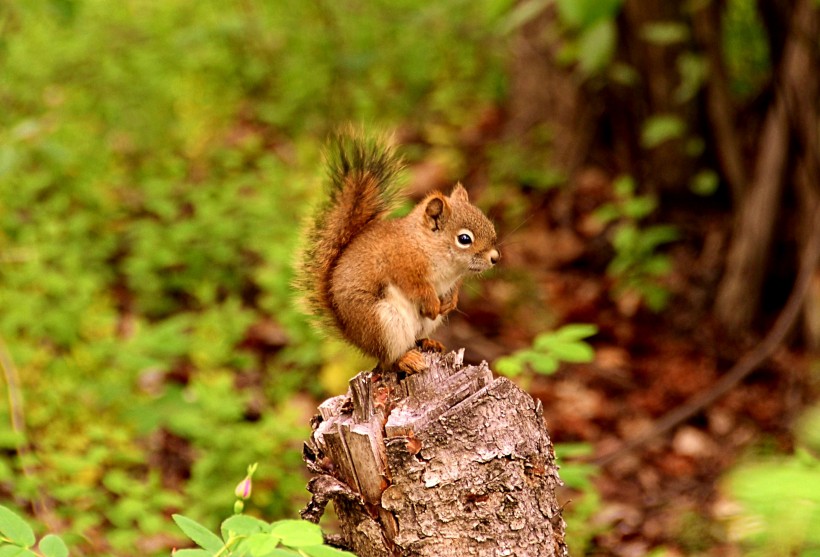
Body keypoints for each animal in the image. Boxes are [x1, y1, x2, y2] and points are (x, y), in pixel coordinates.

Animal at [296, 130, 500, 374]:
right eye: (464, 239)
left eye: (488, 222)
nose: (495, 258)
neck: (425, 245)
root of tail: (355, 337)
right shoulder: (401, 265)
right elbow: (418, 288)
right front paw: (433, 304)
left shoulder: (452, 279)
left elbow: (453, 290)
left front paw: (450, 303)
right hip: (384, 323)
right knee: (389, 359)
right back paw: (406, 359)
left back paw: (428, 342)